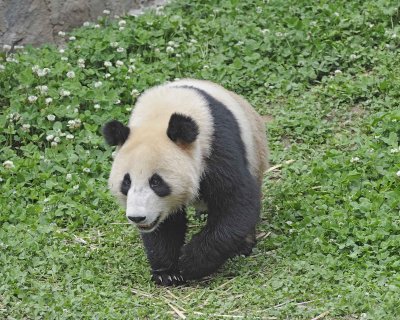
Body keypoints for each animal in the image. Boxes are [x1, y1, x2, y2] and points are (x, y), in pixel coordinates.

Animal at [102, 79, 268, 286]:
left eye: (156, 182)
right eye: (126, 182)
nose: (137, 218)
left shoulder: (216, 144)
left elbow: (236, 201)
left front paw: (190, 261)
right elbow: (165, 225)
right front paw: (167, 271)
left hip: (255, 153)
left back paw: (242, 246)